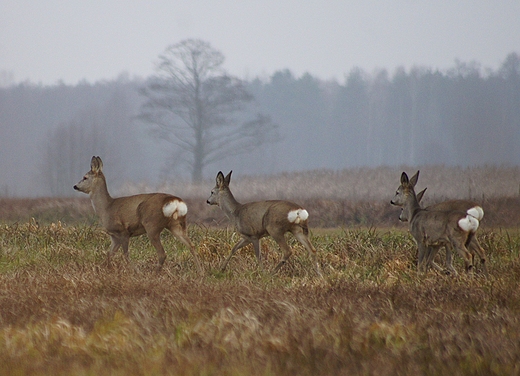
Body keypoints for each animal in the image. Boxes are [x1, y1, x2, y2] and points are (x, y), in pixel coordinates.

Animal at [73, 156, 203, 274]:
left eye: (85, 177)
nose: (75, 186)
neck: (106, 208)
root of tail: (174, 201)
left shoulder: (123, 231)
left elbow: (126, 255)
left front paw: (137, 271)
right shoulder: (114, 237)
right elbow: (109, 255)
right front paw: (104, 270)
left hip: (152, 225)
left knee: (162, 253)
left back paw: (154, 274)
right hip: (177, 224)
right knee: (191, 246)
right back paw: (200, 272)